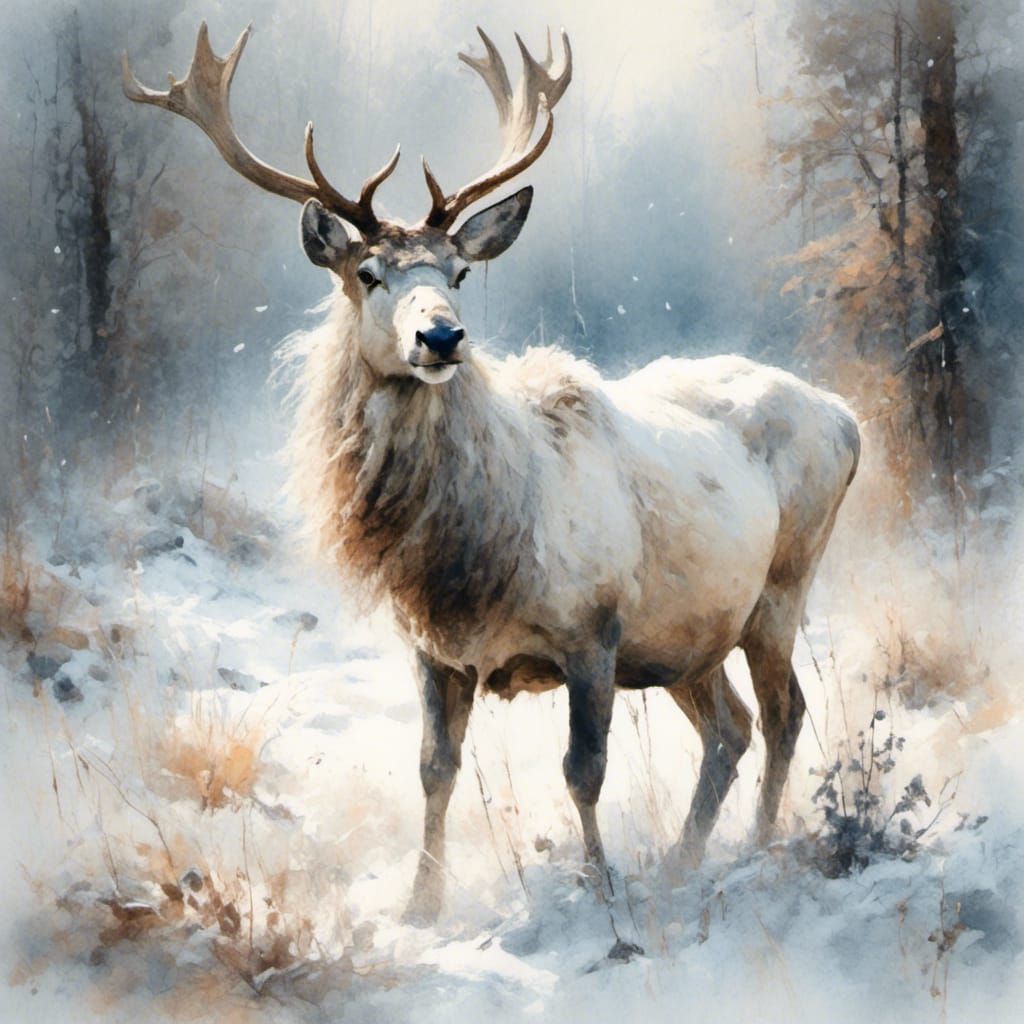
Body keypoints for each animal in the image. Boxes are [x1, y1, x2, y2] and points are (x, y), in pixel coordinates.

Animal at [123, 23, 861, 925]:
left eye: (459, 271)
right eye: (366, 273)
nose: (442, 337)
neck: (470, 556)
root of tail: (847, 418)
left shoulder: (593, 627)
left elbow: (585, 771)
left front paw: (600, 889)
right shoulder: (433, 649)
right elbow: (434, 770)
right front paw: (421, 903)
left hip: (781, 587)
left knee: (785, 714)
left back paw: (754, 847)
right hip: (689, 636)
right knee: (732, 727)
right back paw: (684, 861)